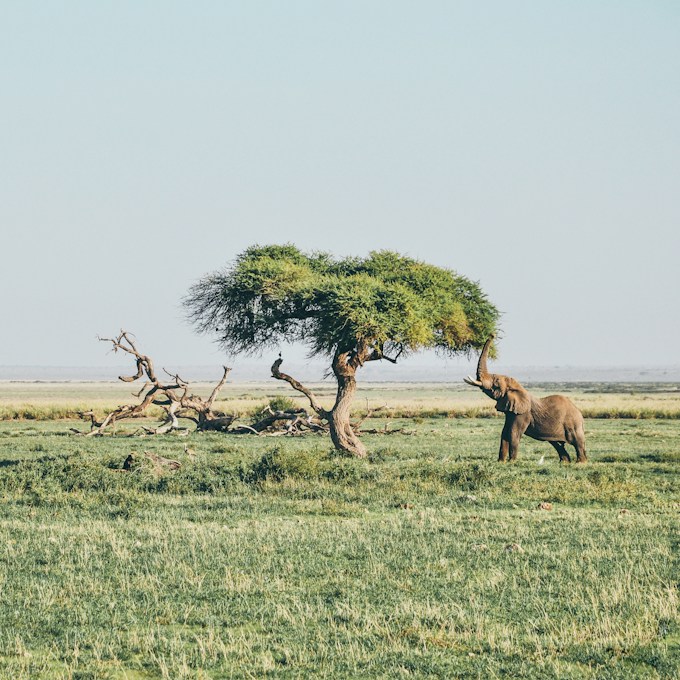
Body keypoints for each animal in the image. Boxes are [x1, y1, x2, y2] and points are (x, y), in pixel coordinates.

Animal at [464, 334, 588, 462]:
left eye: (496, 383)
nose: (492, 335)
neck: (517, 387)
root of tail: (579, 413)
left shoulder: (523, 413)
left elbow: (513, 433)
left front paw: (512, 462)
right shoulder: (511, 411)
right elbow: (504, 432)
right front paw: (501, 462)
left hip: (573, 424)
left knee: (577, 442)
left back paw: (580, 463)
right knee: (557, 443)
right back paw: (564, 463)